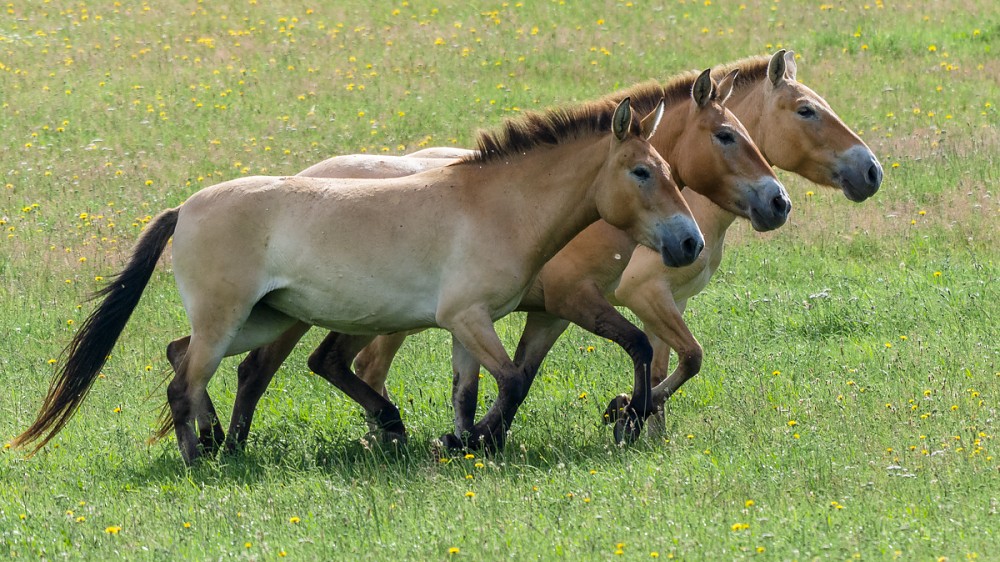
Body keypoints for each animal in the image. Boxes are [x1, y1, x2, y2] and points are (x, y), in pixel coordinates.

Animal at [15, 97, 704, 464]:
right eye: (642, 172)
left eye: (671, 170)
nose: (689, 242)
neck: (495, 205)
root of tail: (184, 208)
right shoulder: (469, 317)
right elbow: (511, 382)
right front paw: (471, 442)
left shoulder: (467, 324)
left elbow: (472, 392)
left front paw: (463, 442)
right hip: (227, 320)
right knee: (185, 381)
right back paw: (200, 458)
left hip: (260, 319)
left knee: (180, 356)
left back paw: (218, 441)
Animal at [219, 66, 788, 450]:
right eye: (725, 135)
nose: (777, 202)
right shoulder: (577, 298)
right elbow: (642, 348)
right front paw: (624, 414)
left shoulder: (550, 313)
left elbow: (527, 372)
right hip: (315, 314)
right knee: (265, 368)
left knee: (331, 362)